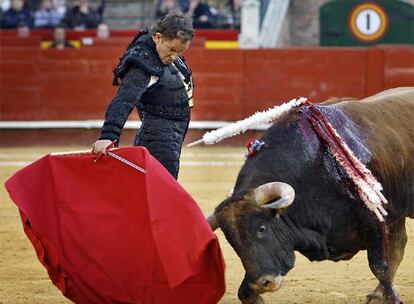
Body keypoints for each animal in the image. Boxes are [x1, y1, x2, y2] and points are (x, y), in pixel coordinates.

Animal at [209, 86, 412, 302]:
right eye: (231, 241)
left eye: (262, 229)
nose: (265, 282)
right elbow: (245, 292)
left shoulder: (375, 221)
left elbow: (379, 266)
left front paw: (392, 298)